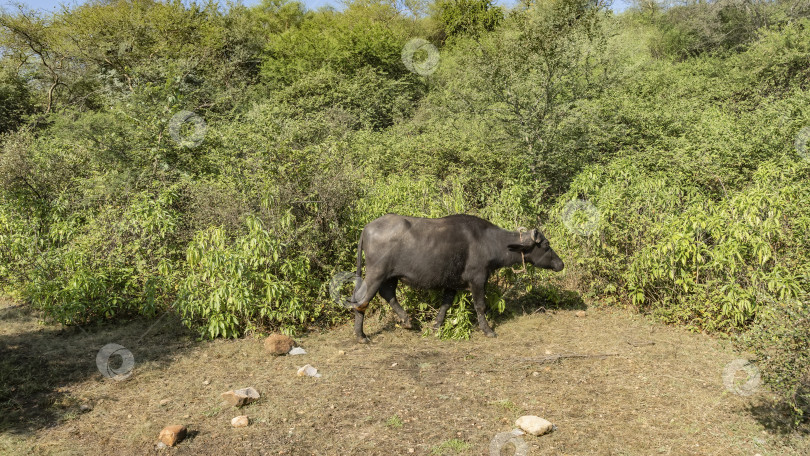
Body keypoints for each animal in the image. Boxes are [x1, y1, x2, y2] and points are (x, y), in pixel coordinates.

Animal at [348, 214, 560, 342]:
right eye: (546, 245)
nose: (561, 263)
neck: (488, 242)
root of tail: (367, 228)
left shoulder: (452, 283)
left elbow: (445, 304)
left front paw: (435, 326)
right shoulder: (478, 278)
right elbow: (480, 305)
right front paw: (488, 330)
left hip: (390, 276)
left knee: (387, 293)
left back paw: (407, 321)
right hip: (376, 273)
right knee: (362, 299)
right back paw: (361, 335)